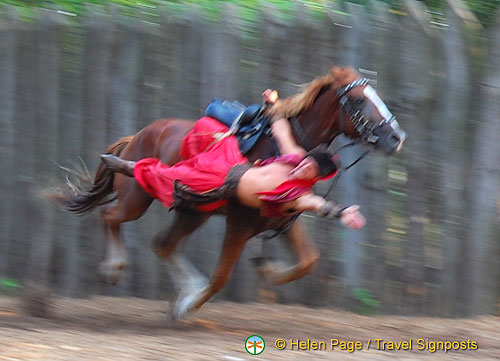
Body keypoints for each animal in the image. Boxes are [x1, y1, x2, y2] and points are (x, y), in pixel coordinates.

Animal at [51, 65, 402, 318]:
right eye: (359, 100)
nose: (397, 137)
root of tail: (137, 135)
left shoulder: (283, 216)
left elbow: (308, 260)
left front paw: (269, 272)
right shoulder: (240, 222)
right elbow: (221, 275)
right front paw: (189, 305)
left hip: (193, 212)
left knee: (163, 244)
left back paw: (185, 286)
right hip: (137, 199)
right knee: (112, 216)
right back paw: (116, 266)